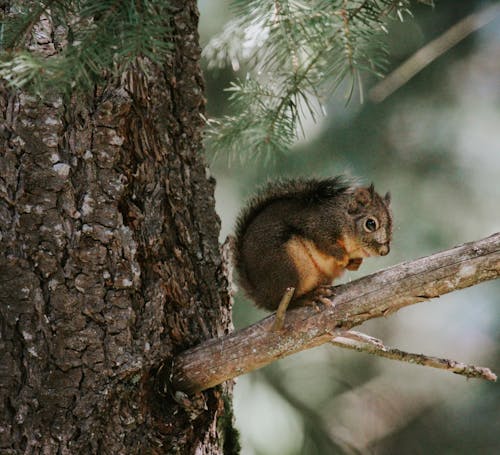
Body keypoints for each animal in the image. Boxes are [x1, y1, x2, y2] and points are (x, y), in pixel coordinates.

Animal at [232, 176, 392, 312]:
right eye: (370, 224)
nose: (385, 252)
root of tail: (261, 294)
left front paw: (355, 263)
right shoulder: (316, 226)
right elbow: (325, 244)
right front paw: (342, 257)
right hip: (287, 266)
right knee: (281, 303)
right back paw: (309, 298)